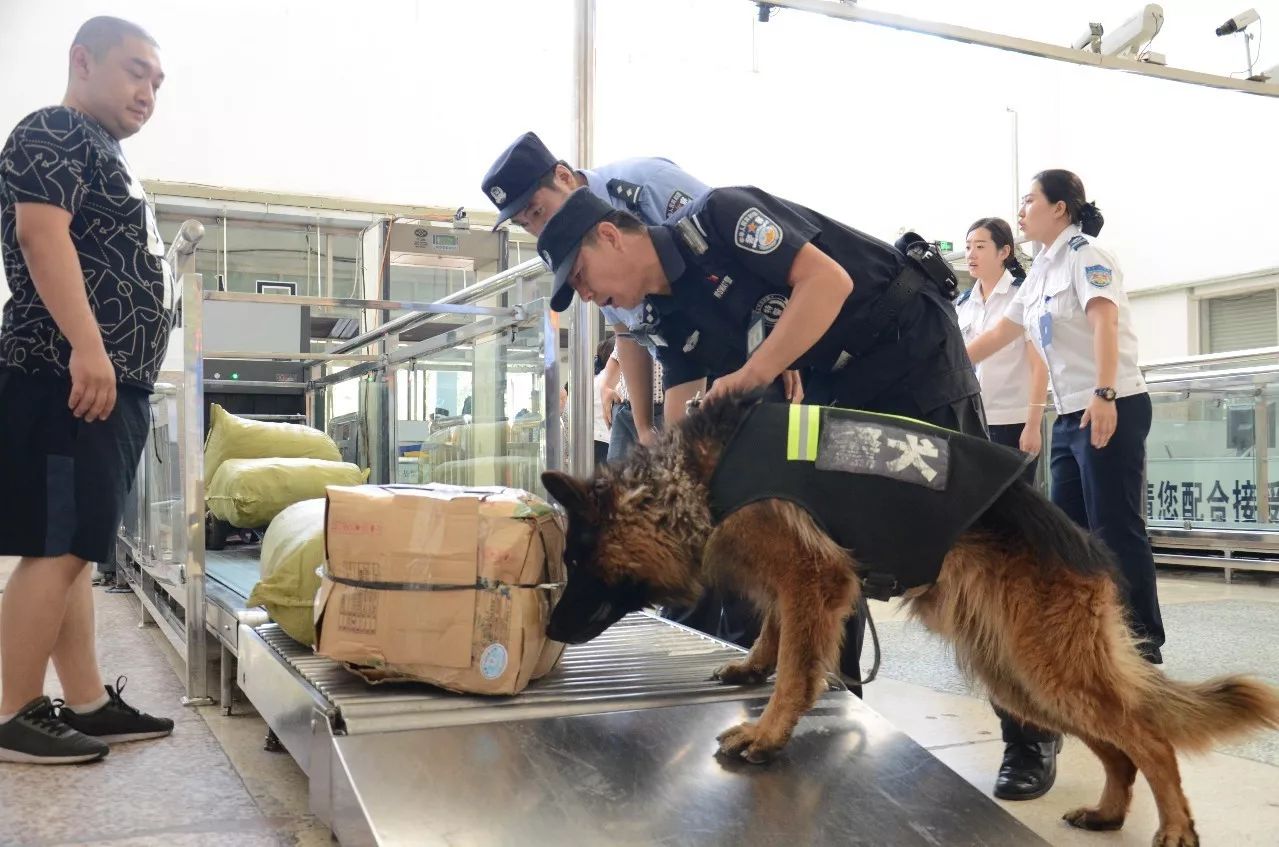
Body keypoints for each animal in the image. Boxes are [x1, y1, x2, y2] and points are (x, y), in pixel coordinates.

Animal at [542, 399, 1279, 847]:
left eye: (576, 559)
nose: (548, 630)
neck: (689, 480)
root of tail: (1082, 546)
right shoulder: (792, 582)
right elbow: (777, 630)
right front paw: (753, 663)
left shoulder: (815, 578)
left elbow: (798, 667)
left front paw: (769, 730)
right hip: (1021, 677)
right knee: (1117, 745)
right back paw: (1107, 810)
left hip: (1045, 665)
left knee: (1149, 739)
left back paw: (1175, 824)